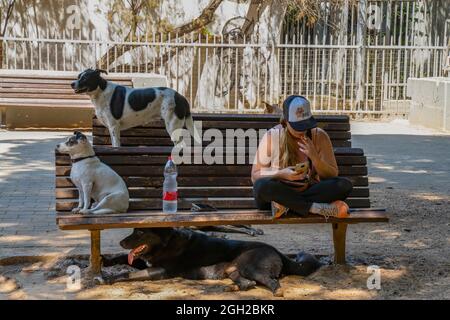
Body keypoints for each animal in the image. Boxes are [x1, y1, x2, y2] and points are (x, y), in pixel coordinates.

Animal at [71, 69, 200, 147]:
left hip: (172, 126)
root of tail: (181, 97)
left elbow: (116, 146)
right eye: (78, 76)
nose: (72, 84)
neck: (100, 91)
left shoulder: (114, 127)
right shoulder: (112, 129)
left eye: (85, 78)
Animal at [100, 228, 322, 296]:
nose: (121, 242)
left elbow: (128, 273)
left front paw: (105, 278)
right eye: (134, 230)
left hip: (250, 266)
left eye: (140, 232)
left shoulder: (158, 271)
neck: (165, 242)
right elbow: (123, 259)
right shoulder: (146, 263)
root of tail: (277, 251)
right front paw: (105, 260)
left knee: (272, 282)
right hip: (234, 270)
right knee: (247, 284)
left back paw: (277, 292)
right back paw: (231, 288)